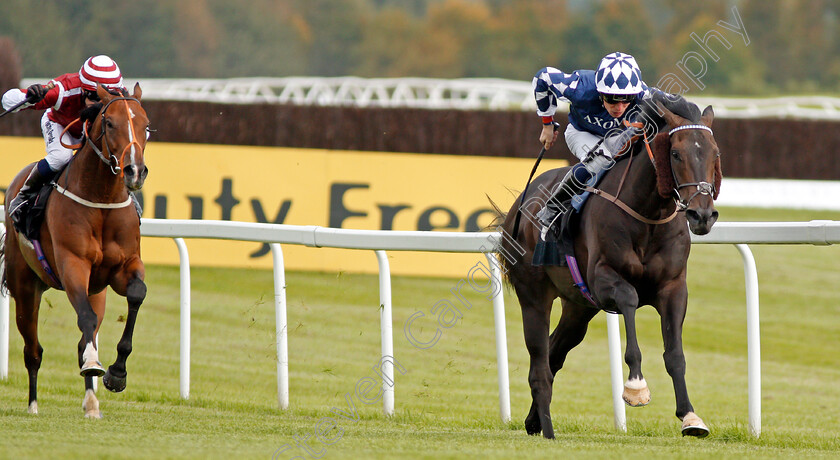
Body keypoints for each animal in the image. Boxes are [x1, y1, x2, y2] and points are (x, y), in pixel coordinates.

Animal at [1, 82, 150, 416]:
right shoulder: (73, 264)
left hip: (98, 291)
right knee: (33, 349)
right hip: (25, 287)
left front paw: (116, 374)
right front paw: (96, 364)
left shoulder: (124, 267)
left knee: (84, 335)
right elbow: (86, 320)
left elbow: (136, 295)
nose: (135, 171)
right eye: (111, 124)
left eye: (146, 126)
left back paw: (91, 403)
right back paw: (33, 405)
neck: (101, 199)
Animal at [498, 95, 720, 440]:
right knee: (539, 362)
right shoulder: (604, 280)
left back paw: (534, 421)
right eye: (675, 153)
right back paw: (547, 428)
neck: (648, 216)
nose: (702, 215)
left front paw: (690, 417)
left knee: (554, 353)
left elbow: (675, 354)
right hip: (534, 296)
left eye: (714, 153)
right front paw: (636, 386)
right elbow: (629, 300)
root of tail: (520, 205)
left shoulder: (673, 287)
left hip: (579, 307)